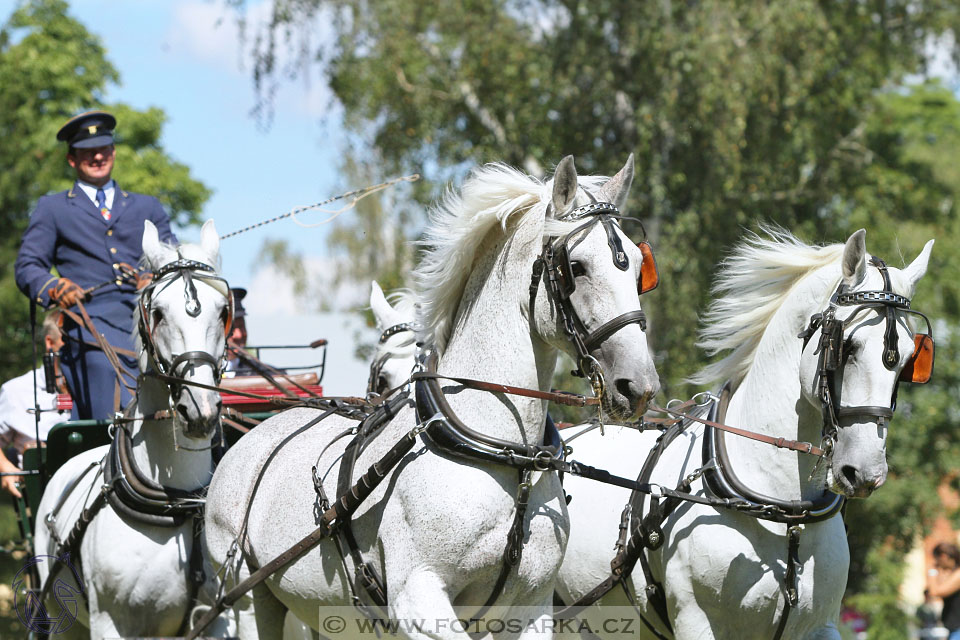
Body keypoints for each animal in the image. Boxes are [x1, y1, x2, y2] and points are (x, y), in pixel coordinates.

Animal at [33, 221, 232, 640]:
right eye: (157, 312)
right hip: (60, 616)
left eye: (223, 311)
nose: (200, 410)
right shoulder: (109, 622)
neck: (176, 499)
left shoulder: (220, 616)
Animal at [204, 156, 660, 640]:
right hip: (248, 599)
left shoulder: (532, 607)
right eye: (576, 266)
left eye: (638, 269)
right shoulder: (417, 598)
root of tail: (250, 442)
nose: (639, 386)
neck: (506, 455)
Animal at [560, 230, 932, 640]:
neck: (784, 512)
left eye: (910, 359)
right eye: (847, 346)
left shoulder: (820, 626)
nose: (865, 472)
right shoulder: (696, 622)